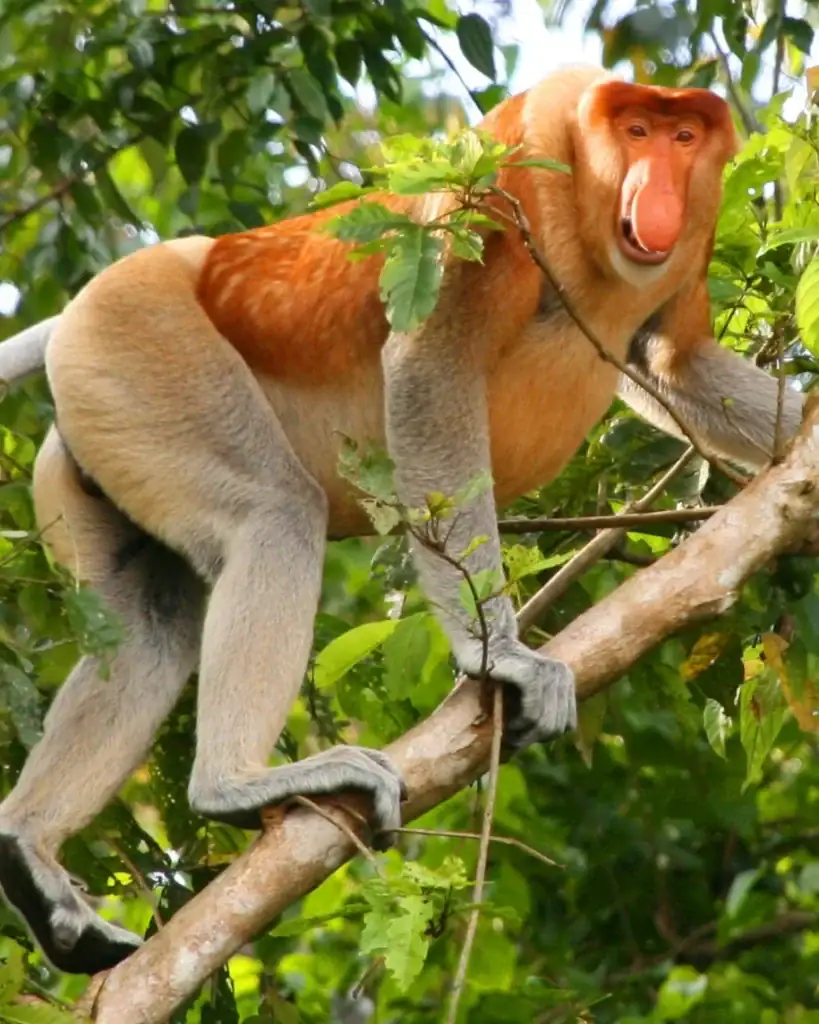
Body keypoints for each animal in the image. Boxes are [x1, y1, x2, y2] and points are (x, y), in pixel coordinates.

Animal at [0, 64, 805, 976]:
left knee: (148, 621)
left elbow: (673, 360)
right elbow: (429, 370)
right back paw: (236, 784)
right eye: (635, 131)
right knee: (274, 516)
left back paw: (31, 859)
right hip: (142, 348)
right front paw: (499, 658)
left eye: (682, 138)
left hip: (101, 429)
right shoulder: (498, 189)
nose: (659, 186)